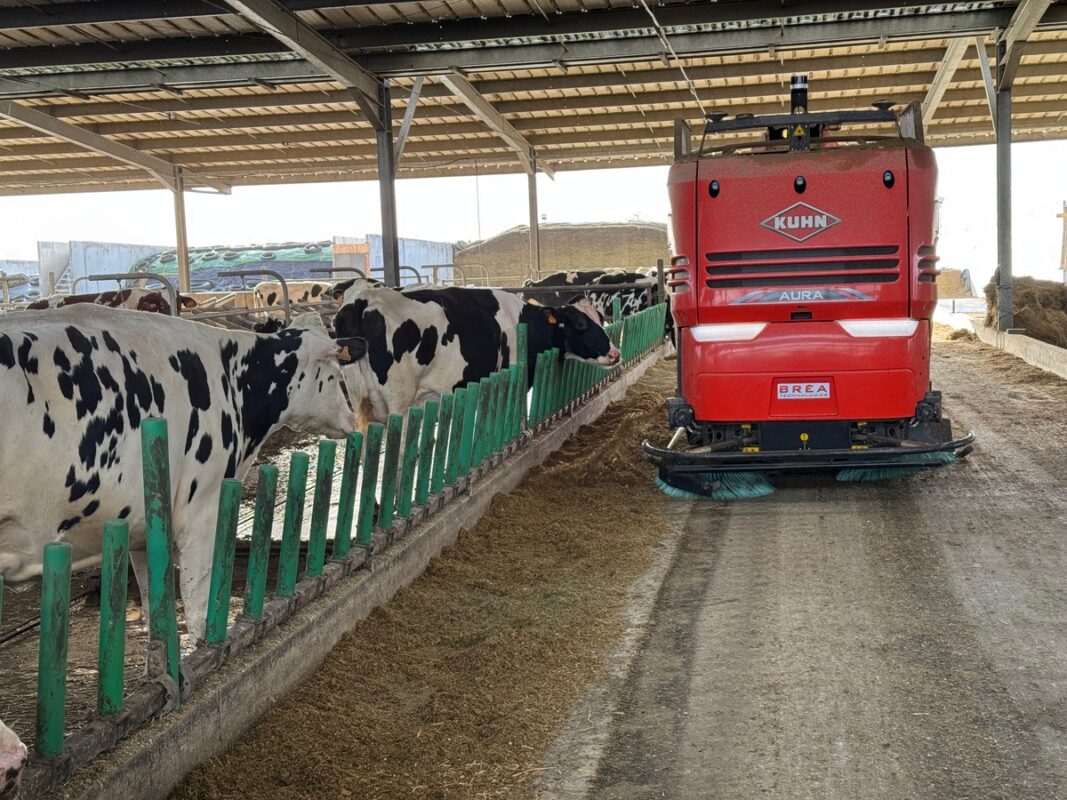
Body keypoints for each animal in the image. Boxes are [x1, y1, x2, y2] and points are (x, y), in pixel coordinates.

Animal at [0, 305, 362, 640]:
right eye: (335, 374)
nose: (353, 422)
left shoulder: (141, 528)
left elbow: (155, 613)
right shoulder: (200, 508)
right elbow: (198, 610)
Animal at [330, 281, 618, 433]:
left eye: (598, 317)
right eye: (580, 323)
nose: (615, 353)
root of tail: (363, 299)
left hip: (360, 401)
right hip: (397, 402)